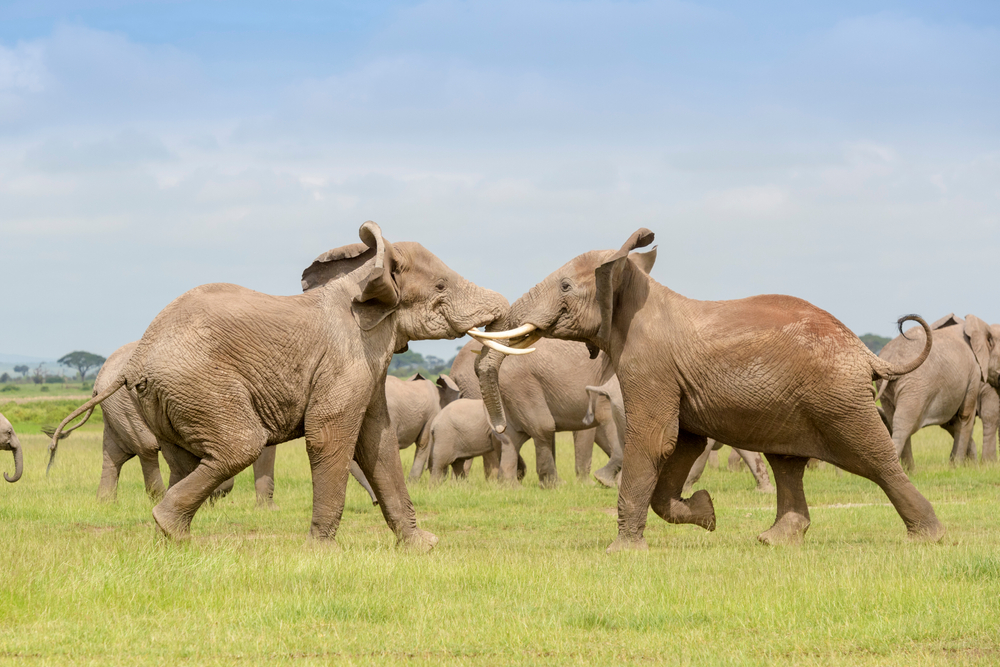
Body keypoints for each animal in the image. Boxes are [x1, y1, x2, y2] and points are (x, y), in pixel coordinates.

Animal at [51, 220, 508, 548]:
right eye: (441, 286)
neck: (364, 276)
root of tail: (137, 360)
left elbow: (377, 439)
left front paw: (422, 546)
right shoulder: (347, 354)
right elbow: (330, 435)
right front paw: (323, 553)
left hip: (167, 398)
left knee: (184, 457)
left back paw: (175, 536)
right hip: (200, 386)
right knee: (240, 446)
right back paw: (169, 527)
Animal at [876, 314, 1000, 468]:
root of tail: (892, 360)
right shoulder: (974, 374)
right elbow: (965, 415)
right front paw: (957, 467)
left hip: (891, 387)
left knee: (895, 419)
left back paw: (910, 471)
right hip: (916, 385)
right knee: (905, 423)